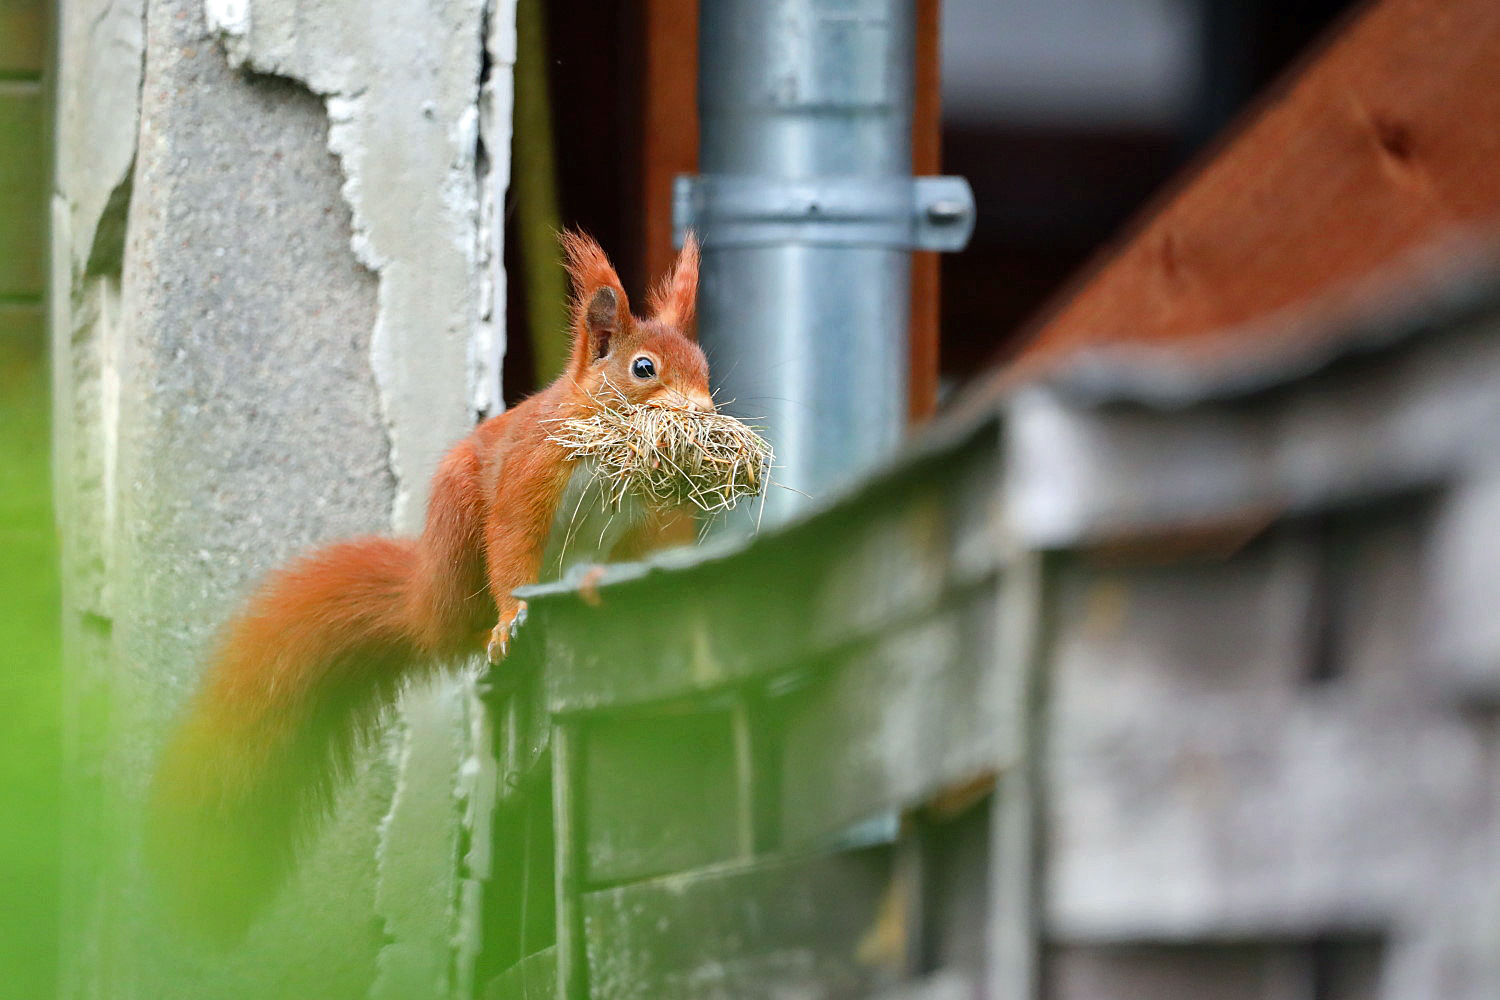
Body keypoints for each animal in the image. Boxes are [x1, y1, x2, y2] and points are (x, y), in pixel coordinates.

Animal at [149, 232, 711, 941]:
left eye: (705, 365)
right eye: (643, 368)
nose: (705, 413)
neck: (603, 449)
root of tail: (423, 608)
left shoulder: (643, 510)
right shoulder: (531, 471)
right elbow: (513, 541)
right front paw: (510, 619)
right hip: (459, 525)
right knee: (467, 621)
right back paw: (491, 638)